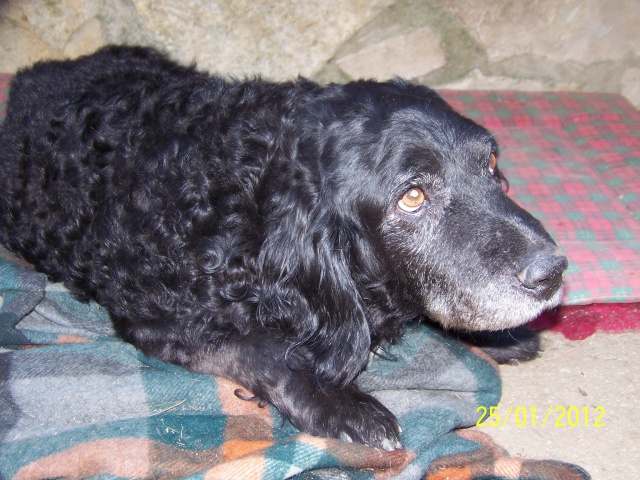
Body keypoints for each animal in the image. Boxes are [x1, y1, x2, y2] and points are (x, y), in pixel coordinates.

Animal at [0, 47, 564, 452]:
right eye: (413, 196)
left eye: (490, 163)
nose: (553, 272)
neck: (245, 196)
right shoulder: (163, 322)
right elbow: (269, 352)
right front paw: (344, 405)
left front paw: (504, 338)